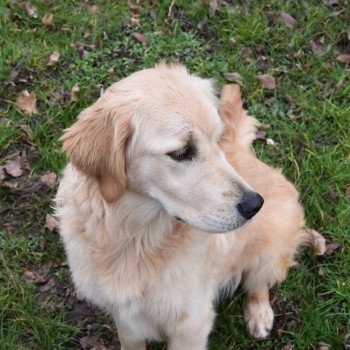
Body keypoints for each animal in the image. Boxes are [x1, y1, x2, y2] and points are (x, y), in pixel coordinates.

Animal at [53, 63, 308, 350]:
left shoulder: (192, 325)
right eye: (181, 152)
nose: (255, 205)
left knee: (258, 283)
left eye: (217, 140)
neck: (134, 240)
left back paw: (259, 314)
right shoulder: (127, 321)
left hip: (270, 248)